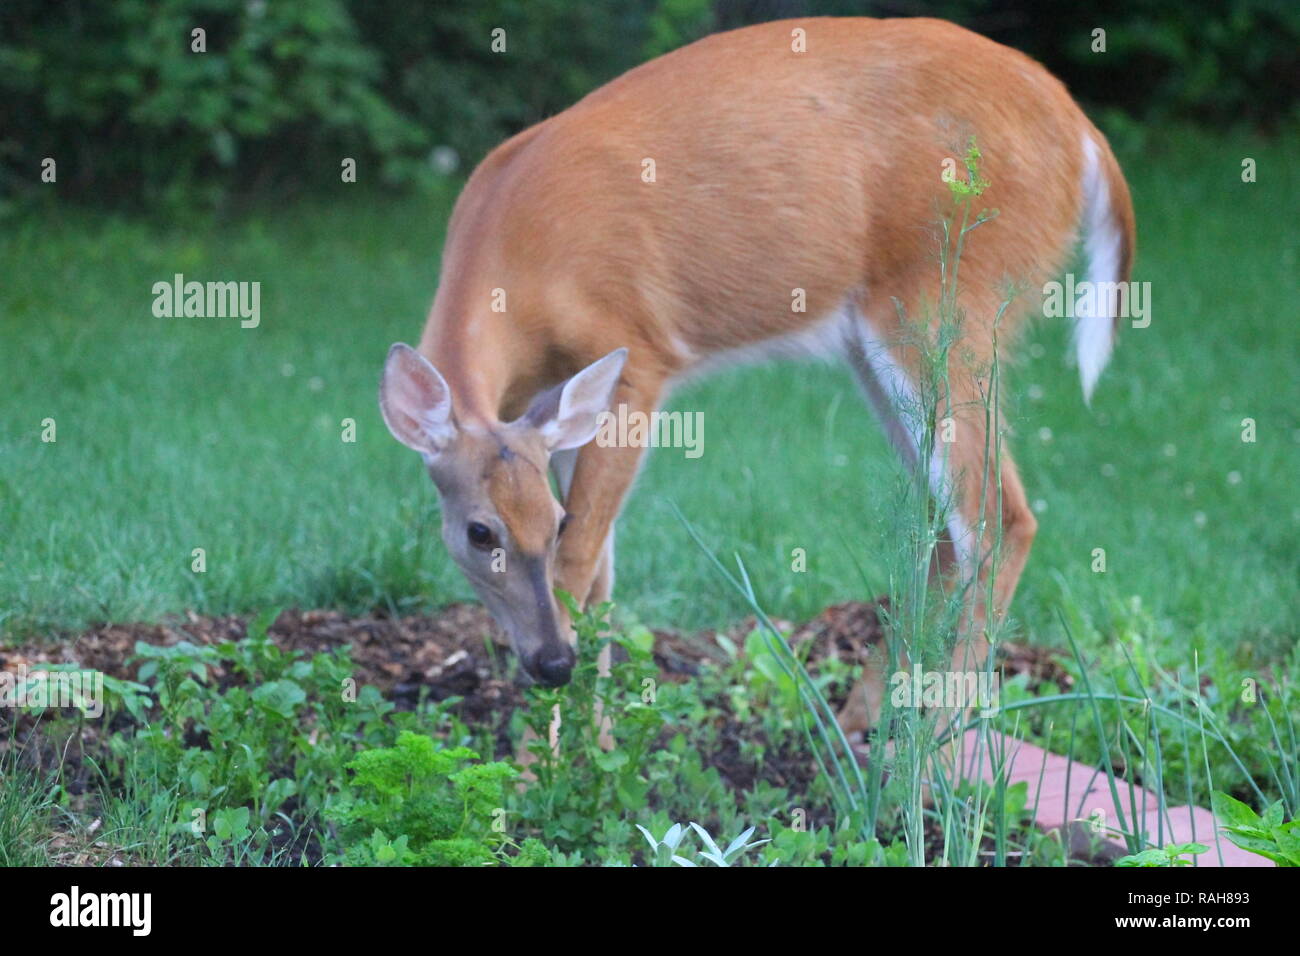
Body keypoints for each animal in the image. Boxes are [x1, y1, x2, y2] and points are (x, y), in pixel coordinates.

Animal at [378, 17, 1135, 743]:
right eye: (479, 533)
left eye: (546, 524)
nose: (550, 663)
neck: (519, 262)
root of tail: (1082, 130)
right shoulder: (556, 404)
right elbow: (602, 573)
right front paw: (598, 747)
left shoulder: (639, 359)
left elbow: (581, 564)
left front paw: (545, 762)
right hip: (882, 342)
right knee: (944, 522)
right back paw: (865, 720)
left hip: (952, 299)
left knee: (1000, 517)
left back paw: (938, 747)